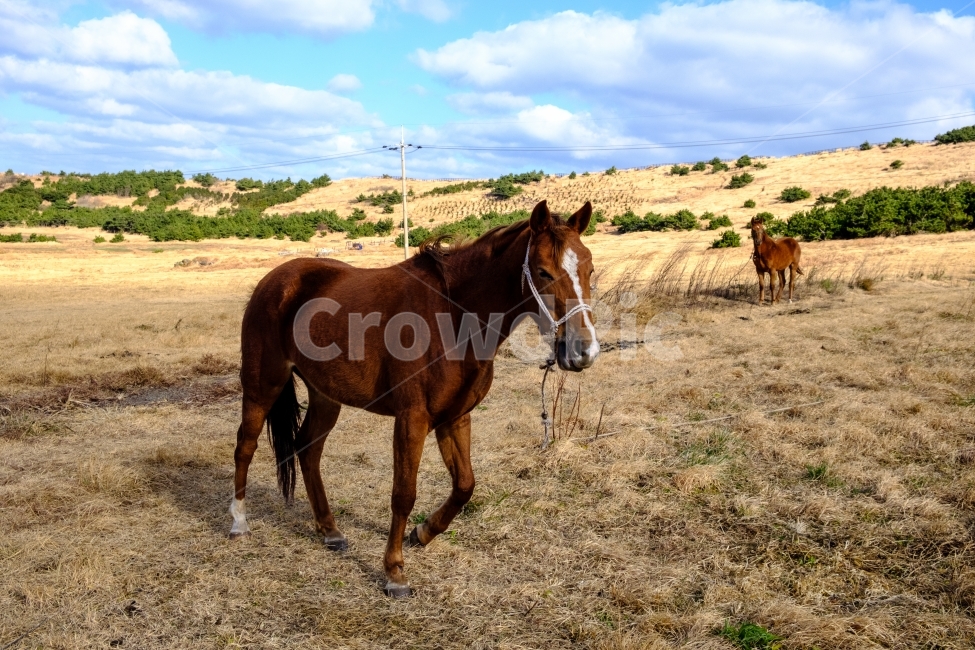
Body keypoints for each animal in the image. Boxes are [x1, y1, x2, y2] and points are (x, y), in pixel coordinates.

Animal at [230, 200, 600, 597]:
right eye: (544, 272)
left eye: (590, 268)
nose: (583, 351)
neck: (453, 315)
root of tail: (276, 280)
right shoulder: (412, 419)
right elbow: (404, 493)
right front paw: (394, 571)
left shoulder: (455, 417)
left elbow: (465, 486)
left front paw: (422, 533)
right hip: (262, 385)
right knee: (245, 447)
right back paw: (238, 522)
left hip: (325, 395)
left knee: (308, 450)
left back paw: (329, 530)